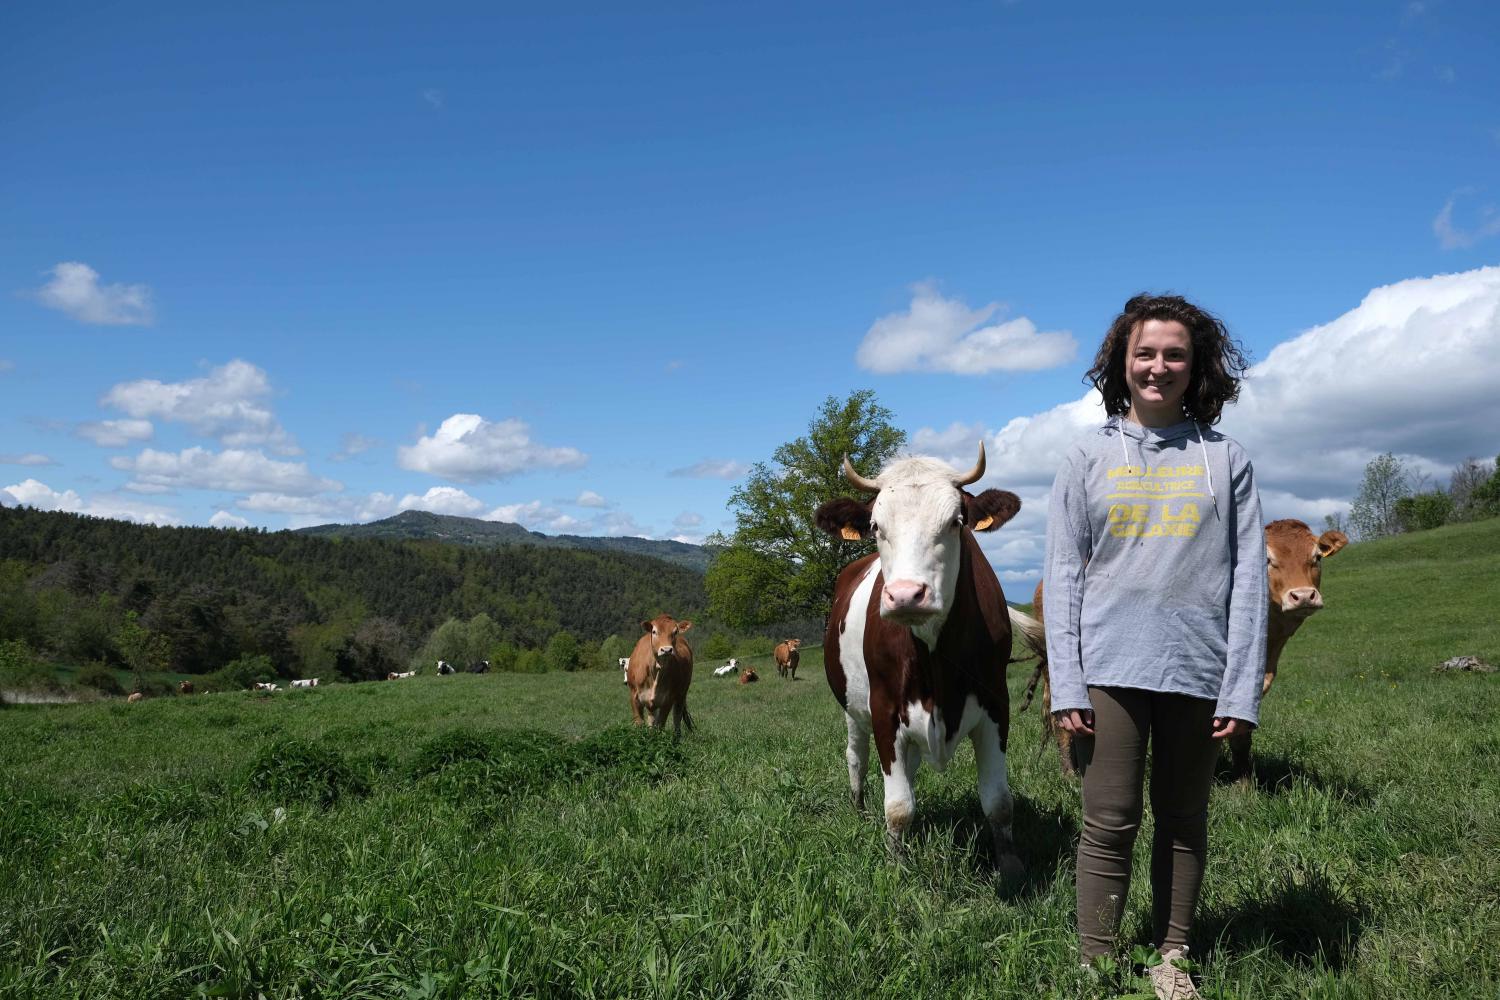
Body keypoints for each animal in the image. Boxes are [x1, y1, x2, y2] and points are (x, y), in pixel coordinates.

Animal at [810, 446, 1032, 869]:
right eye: (876, 526)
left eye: (956, 522)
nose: (905, 595)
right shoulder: (884, 709)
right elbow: (898, 807)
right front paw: (897, 865)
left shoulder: (997, 704)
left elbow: (999, 802)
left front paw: (1012, 866)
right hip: (852, 708)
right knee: (856, 757)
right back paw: (859, 809)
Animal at [1020, 515, 1350, 779]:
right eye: (1266, 559)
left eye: (1317, 557)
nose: (1303, 595)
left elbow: (1240, 732)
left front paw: (1244, 782)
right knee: (1062, 720)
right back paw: (1070, 776)